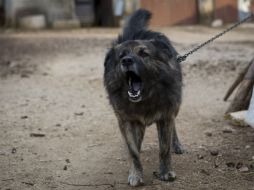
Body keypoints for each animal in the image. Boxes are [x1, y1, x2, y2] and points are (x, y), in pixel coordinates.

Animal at [103, 9, 185, 186]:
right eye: (121, 56)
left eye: (143, 54)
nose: (126, 61)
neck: (146, 99)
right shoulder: (126, 120)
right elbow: (133, 151)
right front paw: (135, 173)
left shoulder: (166, 116)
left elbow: (164, 148)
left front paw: (166, 172)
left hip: (175, 106)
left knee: (174, 127)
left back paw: (177, 144)